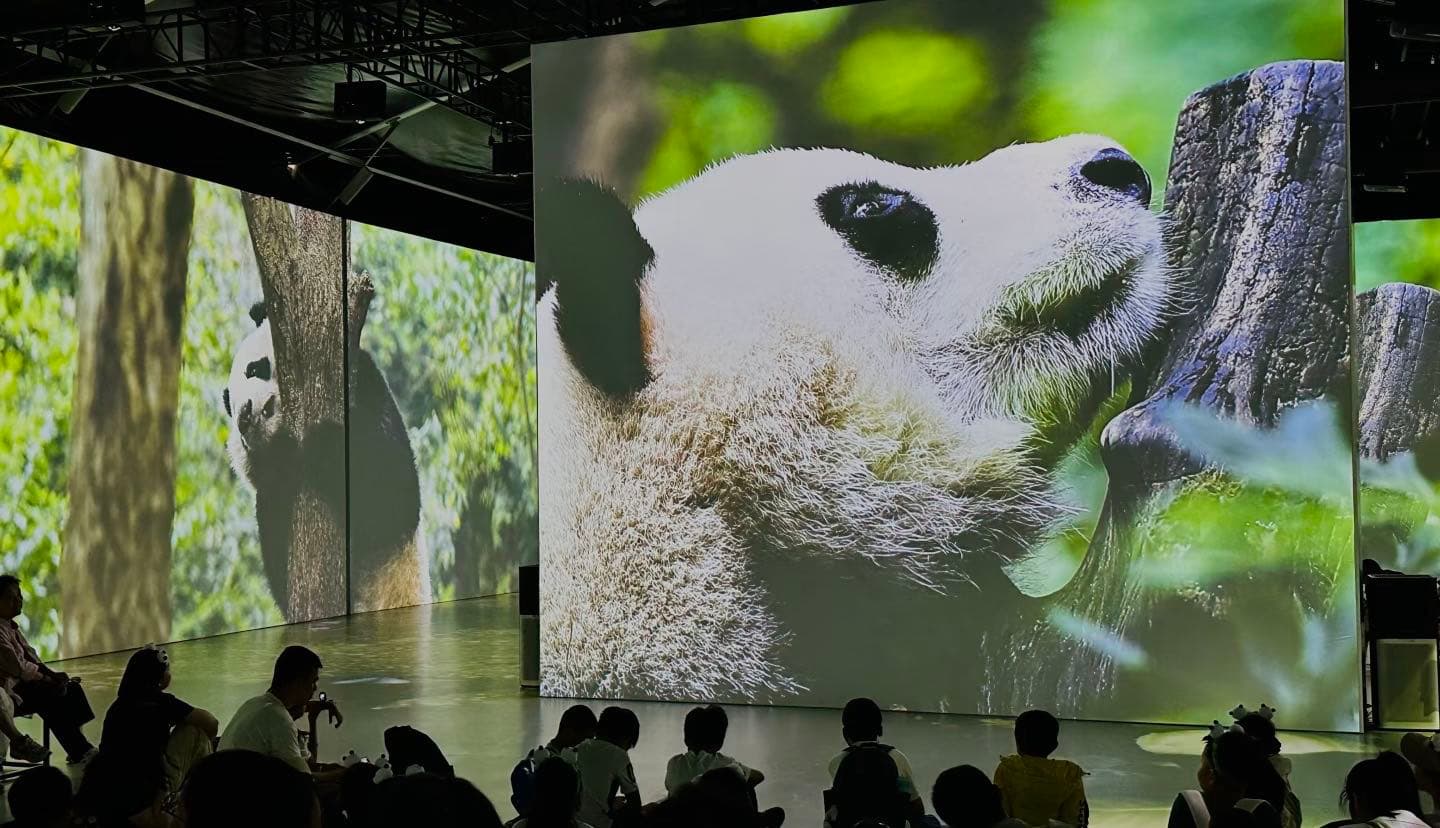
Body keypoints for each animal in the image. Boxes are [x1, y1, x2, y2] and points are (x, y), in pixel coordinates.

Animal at [224, 301, 429, 618]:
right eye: (229, 408)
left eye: (254, 368)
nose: (244, 415)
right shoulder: (270, 500)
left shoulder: (368, 385)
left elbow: (390, 500)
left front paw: (324, 442)